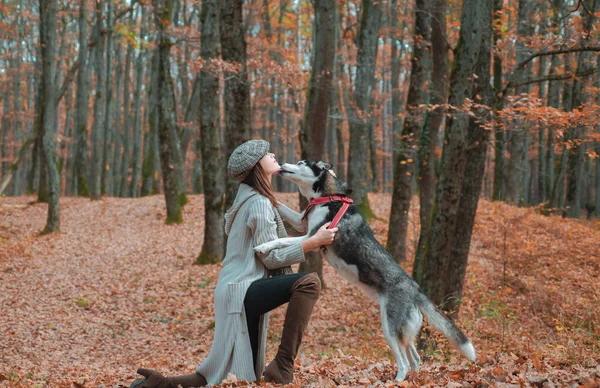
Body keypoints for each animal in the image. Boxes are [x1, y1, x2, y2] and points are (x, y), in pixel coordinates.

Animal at [255, 159, 476, 380]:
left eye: (301, 163)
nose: (281, 163)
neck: (329, 197)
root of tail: (416, 289)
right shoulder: (302, 225)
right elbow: (282, 207)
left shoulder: (313, 236)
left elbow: (282, 241)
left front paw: (263, 246)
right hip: (404, 331)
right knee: (415, 358)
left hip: (390, 328)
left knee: (404, 362)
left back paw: (396, 381)